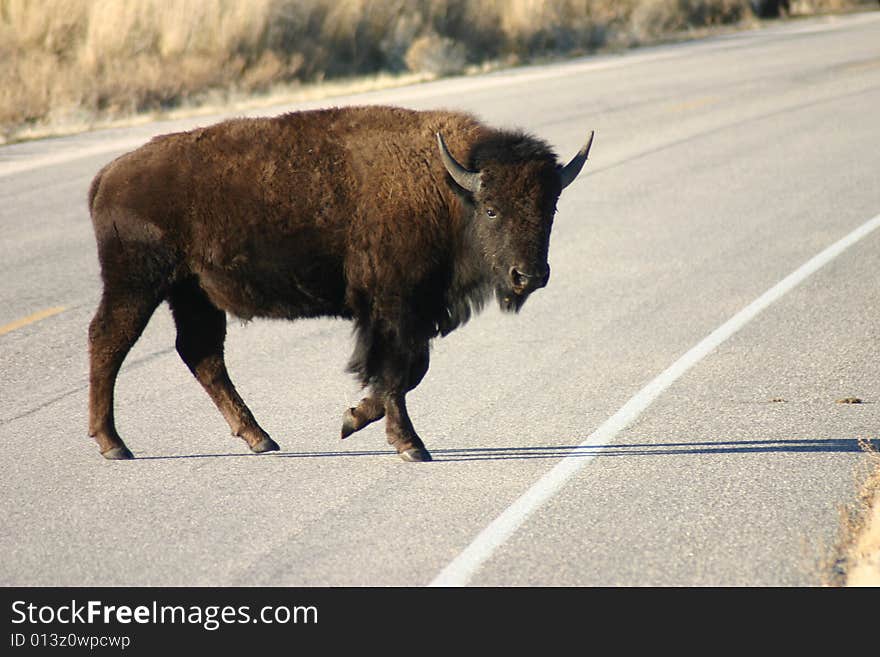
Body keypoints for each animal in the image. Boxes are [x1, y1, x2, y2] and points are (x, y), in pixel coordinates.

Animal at [86, 105, 596, 458]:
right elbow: (397, 371)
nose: (529, 275)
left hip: (193, 293)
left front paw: (352, 419)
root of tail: (107, 175)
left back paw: (260, 438)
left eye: (550, 207)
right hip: (138, 283)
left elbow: (410, 372)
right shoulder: (393, 309)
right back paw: (114, 444)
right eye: (491, 209)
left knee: (201, 354)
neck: (446, 188)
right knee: (109, 341)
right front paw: (408, 445)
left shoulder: (415, 311)